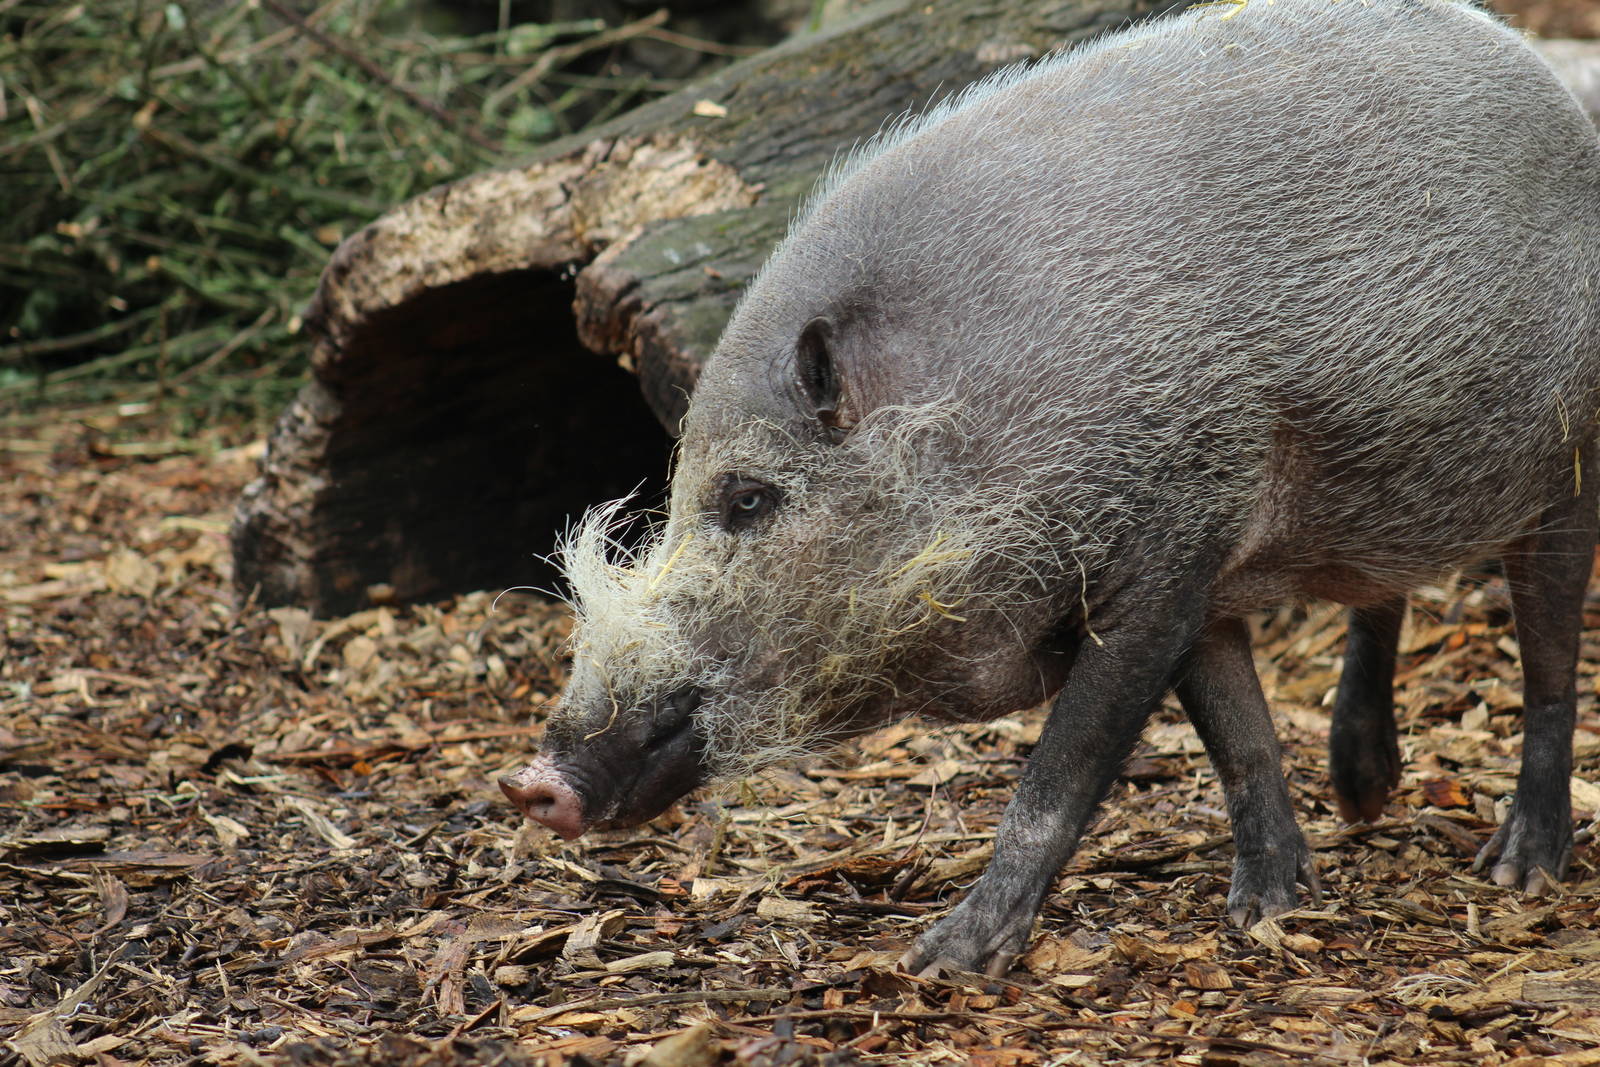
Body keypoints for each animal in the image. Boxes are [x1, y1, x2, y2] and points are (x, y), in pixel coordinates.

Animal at [502, 0, 1600, 976]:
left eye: (748, 499)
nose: (532, 781)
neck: (973, 409)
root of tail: (1543, 76)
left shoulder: (1162, 558)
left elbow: (1061, 770)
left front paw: (941, 962)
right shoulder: (1207, 569)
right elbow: (1238, 736)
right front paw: (1268, 909)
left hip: (1568, 470)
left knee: (1550, 669)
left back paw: (1517, 871)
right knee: (1383, 594)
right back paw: (1365, 795)